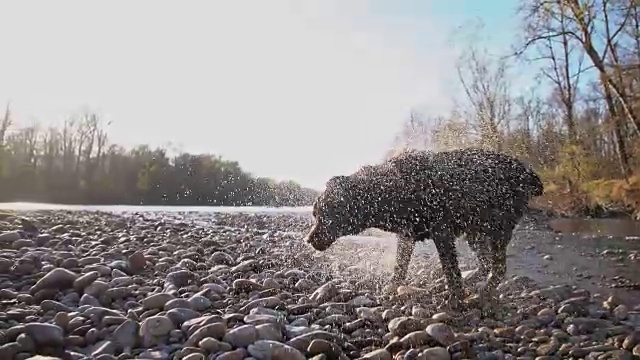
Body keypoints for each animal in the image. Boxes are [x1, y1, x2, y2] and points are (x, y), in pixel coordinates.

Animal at [302, 148, 544, 308]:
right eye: (315, 214)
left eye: (322, 215)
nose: (309, 240)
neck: (390, 190)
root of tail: (526, 172)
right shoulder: (406, 235)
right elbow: (400, 267)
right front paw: (390, 290)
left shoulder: (442, 232)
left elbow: (451, 271)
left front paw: (455, 298)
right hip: (475, 231)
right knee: (484, 265)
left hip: (497, 229)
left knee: (498, 268)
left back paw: (483, 292)